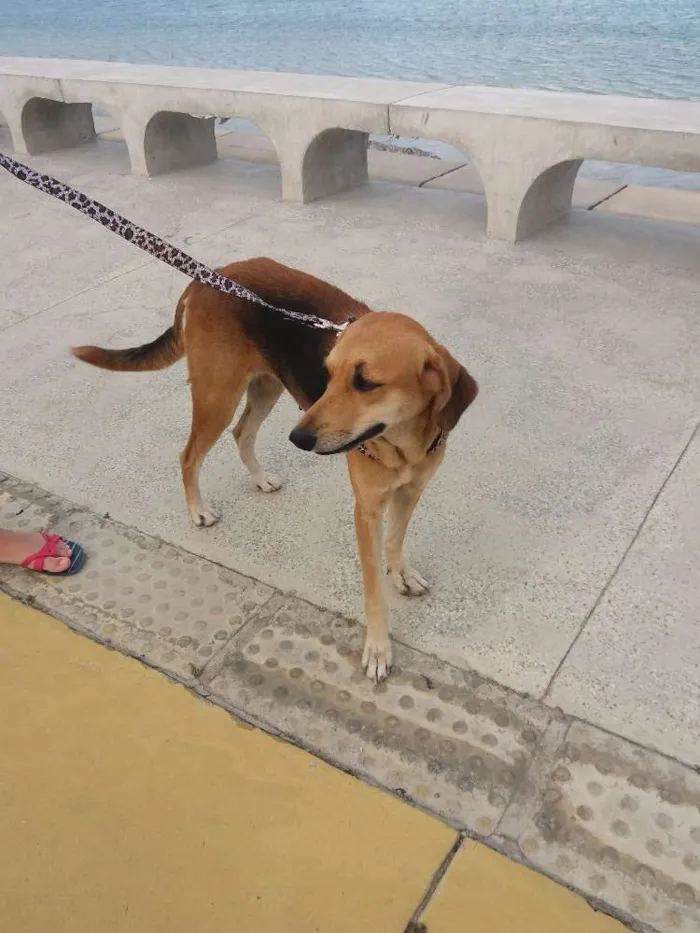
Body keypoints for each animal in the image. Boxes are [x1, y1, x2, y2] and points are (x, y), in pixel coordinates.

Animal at [74, 258, 478, 680]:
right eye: (327, 374)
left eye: (366, 383)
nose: (298, 438)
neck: (404, 444)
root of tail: (208, 277)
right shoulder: (366, 511)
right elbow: (373, 589)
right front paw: (378, 647)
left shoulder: (411, 492)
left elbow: (396, 541)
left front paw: (401, 575)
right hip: (217, 397)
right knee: (189, 456)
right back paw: (198, 510)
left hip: (266, 386)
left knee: (241, 433)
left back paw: (260, 479)